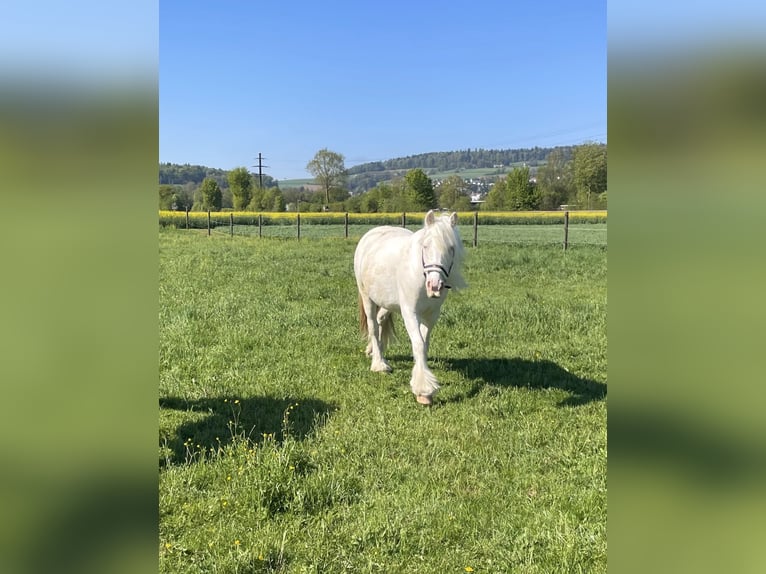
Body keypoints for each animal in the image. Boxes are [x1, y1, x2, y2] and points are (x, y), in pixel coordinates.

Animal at [354, 210, 467, 405]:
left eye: (451, 248)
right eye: (426, 246)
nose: (435, 286)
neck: (421, 275)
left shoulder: (431, 315)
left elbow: (425, 343)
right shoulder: (410, 313)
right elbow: (418, 343)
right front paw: (423, 390)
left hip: (388, 302)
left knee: (380, 319)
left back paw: (373, 350)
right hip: (367, 297)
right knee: (373, 327)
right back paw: (379, 363)